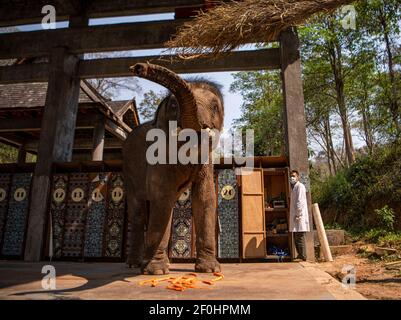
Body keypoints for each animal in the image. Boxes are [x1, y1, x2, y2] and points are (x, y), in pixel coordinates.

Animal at [122, 63, 223, 276]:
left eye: (214, 107)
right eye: (174, 106)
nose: (138, 67)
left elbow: (205, 197)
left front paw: (209, 270)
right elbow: (162, 197)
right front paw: (156, 272)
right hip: (129, 171)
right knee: (139, 210)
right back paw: (135, 264)